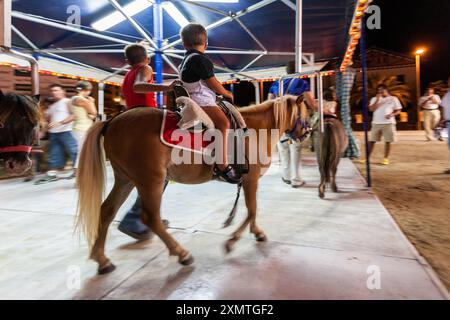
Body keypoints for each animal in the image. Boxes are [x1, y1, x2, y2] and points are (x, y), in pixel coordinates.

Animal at [76, 95, 310, 276]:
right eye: (305, 113)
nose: (306, 133)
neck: (254, 131)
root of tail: (112, 121)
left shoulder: (248, 182)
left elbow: (252, 212)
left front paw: (256, 232)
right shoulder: (250, 180)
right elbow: (252, 210)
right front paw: (232, 241)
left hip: (126, 179)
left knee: (107, 211)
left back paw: (102, 260)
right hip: (151, 181)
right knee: (150, 218)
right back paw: (182, 254)